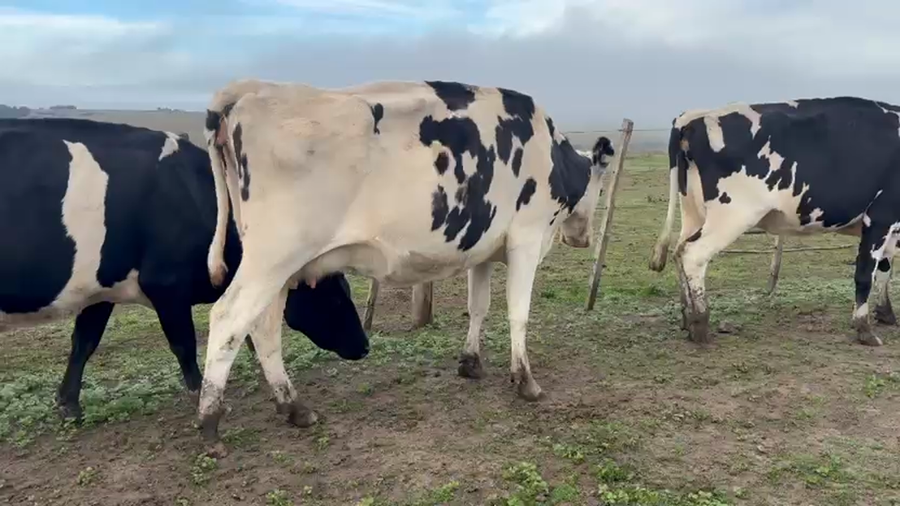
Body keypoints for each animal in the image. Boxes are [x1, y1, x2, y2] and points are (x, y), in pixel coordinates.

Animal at [0, 117, 370, 423]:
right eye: (334, 297)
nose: (364, 345)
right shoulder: (166, 286)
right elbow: (184, 344)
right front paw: (200, 395)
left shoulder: (101, 291)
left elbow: (84, 343)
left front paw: (68, 404)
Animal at [196, 78, 614, 451]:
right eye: (602, 183)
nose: (582, 239)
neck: (549, 152)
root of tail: (253, 87)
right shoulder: (527, 239)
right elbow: (519, 313)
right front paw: (525, 380)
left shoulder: (482, 248)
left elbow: (478, 306)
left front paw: (471, 363)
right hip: (273, 258)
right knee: (229, 319)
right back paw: (210, 424)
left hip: (280, 268)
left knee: (264, 328)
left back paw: (294, 407)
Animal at [648, 97, 900, 346]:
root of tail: (693, 118)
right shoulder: (880, 216)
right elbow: (866, 273)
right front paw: (864, 328)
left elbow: (885, 269)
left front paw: (886, 313)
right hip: (732, 214)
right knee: (694, 254)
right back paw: (700, 324)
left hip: (693, 211)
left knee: (679, 250)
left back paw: (687, 318)